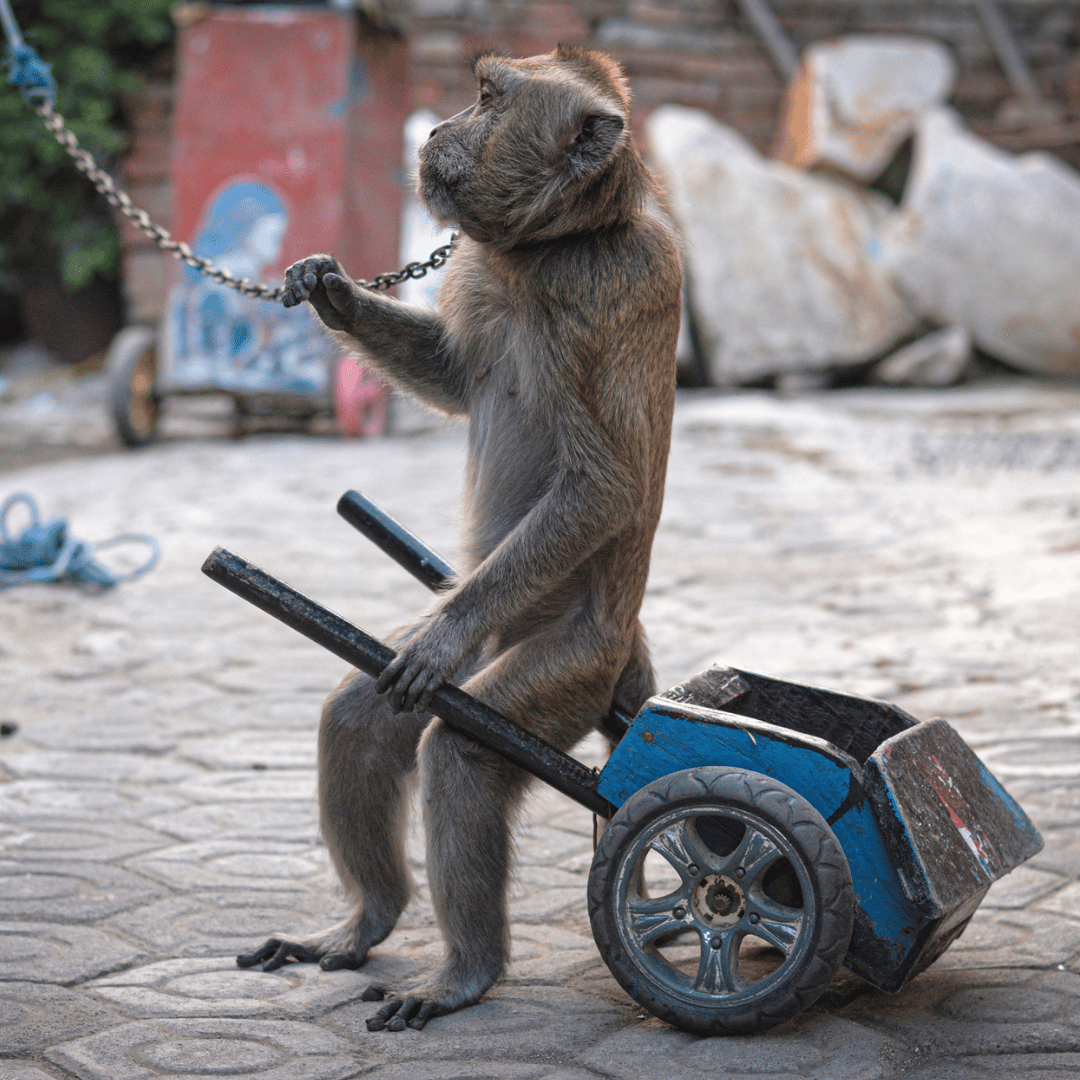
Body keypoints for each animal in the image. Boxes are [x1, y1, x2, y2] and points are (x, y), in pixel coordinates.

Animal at [236, 44, 682, 1031]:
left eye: (486, 98)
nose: (440, 125)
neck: (546, 250)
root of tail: (624, 658)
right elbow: (449, 374)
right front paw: (328, 288)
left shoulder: (602, 291)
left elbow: (602, 485)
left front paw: (440, 640)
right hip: (502, 624)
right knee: (360, 717)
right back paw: (368, 920)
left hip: (567, 663)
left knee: (466, 751)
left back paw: (465, 973)